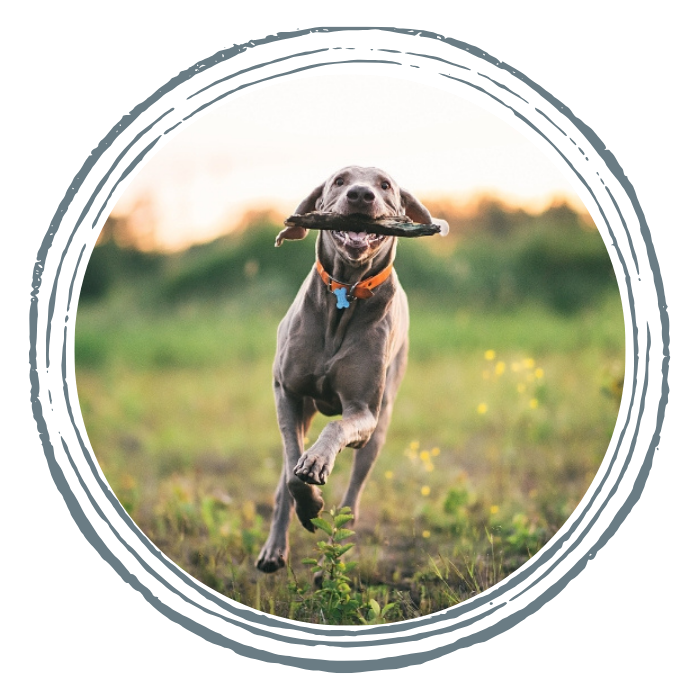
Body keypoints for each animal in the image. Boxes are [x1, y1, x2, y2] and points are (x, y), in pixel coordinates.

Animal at [258, 165, 448, 576]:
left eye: (386, 186)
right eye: (339, 181)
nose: (361, 195)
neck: (345, 290)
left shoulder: (364, 411)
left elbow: (337, 428)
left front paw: (318, 463)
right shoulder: (287, 392)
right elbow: (292, 472)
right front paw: (310, 503)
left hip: (380, 428)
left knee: (351, 502)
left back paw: (325, 565)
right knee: (285, 475)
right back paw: (274, 550)